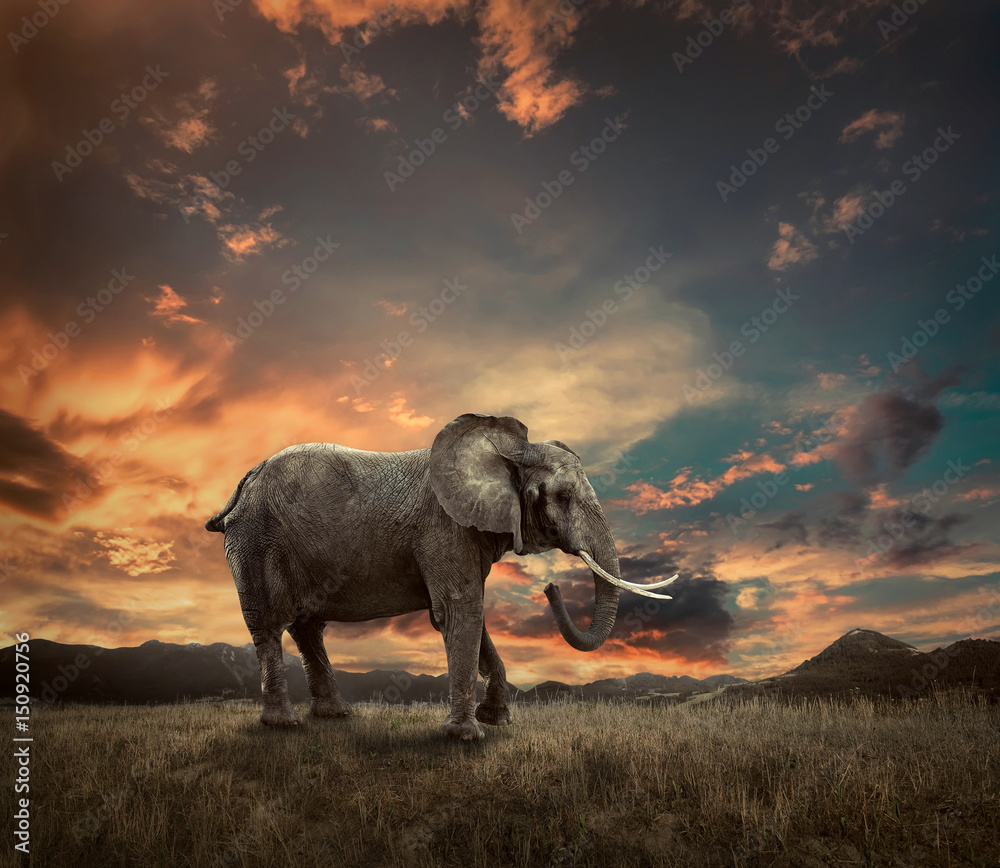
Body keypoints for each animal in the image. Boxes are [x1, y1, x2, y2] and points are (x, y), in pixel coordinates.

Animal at [205, 413, 675, 740]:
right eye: (562, 496)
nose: (550, 587)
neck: (509, 451)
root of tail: (243, 483)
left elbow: (472, 614)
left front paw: (497, 721)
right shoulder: (444, 529)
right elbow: (458, 612)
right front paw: (465, 738)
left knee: (307, 627)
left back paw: (335, 716)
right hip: (257, 541)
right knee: (269, 625)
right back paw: (283, 725)